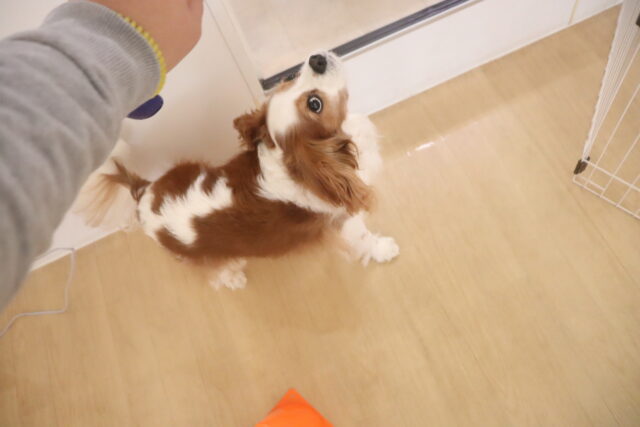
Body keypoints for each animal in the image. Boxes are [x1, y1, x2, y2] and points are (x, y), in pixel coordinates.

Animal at [76, 52, 398, 289]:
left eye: (290, 77)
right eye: (314, 103)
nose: (316, 59)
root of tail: (142, 193)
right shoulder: (342, 221)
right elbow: (364, 239)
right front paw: (384, 249)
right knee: (214, 270)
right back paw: (232, 275)